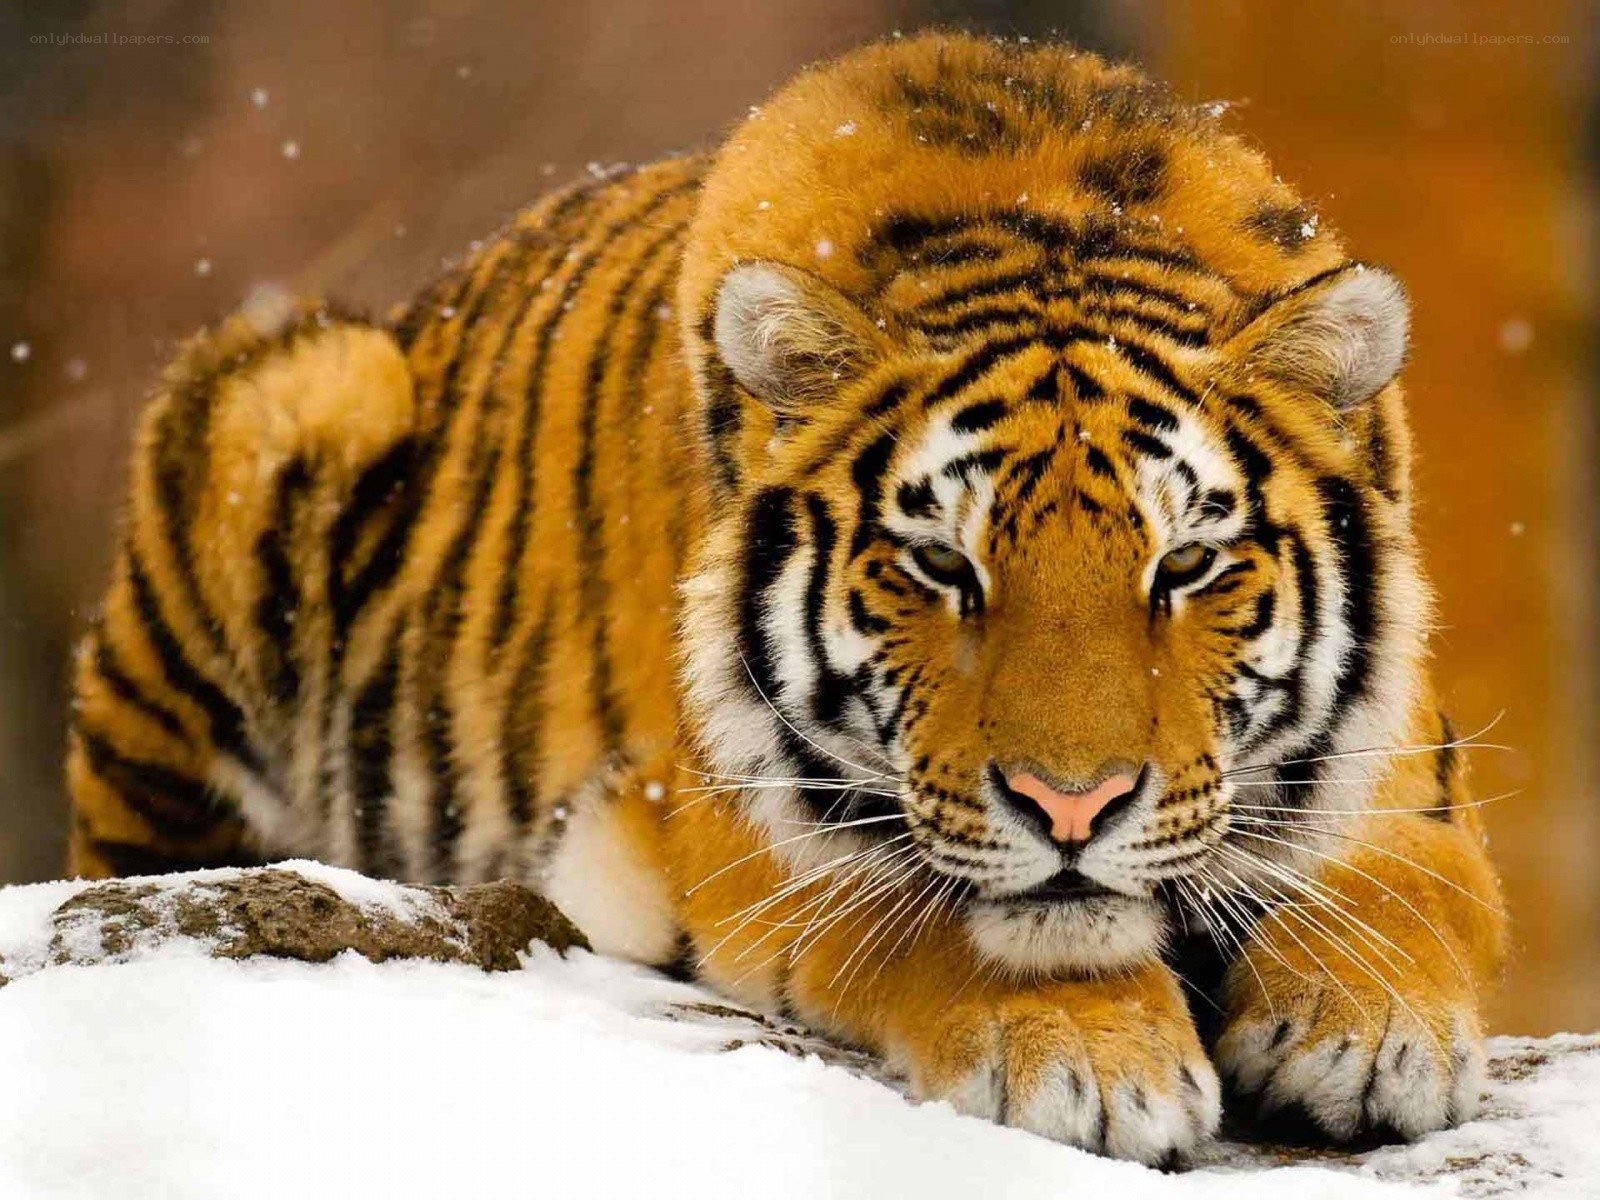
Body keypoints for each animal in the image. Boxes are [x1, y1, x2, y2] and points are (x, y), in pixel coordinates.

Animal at [65, 32, 1508, 1163]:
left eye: (1185, 565)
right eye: (942, 565)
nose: (1072, 808)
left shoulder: (1403, 768)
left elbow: (1408, 884)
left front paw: (1372, 1035)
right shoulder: (733, 819)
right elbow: (936, 912)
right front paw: (1090, 1060)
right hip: (292, 399)